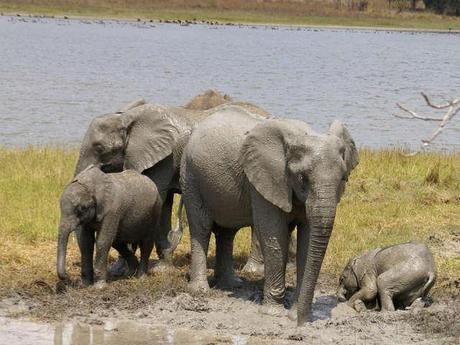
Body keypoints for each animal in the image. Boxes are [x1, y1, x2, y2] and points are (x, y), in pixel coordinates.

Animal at [73, 89, 272, 274]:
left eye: (99, 147)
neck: (127, 118)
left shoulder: (165, 157)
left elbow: (157, 198)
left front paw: (159, 269)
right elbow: (164, 202)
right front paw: (122, 270)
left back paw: (252, 270)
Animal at [181, 105, 360, 326]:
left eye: (343, 178)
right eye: (302, 177)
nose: (299, 321)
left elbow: (307, 238)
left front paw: (296, 311)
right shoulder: (265, 178)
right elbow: (273, 234)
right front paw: (273, 312)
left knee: (227, 232)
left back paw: (231, 285)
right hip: (190, 176)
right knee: (202, 227)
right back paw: (201, 291)